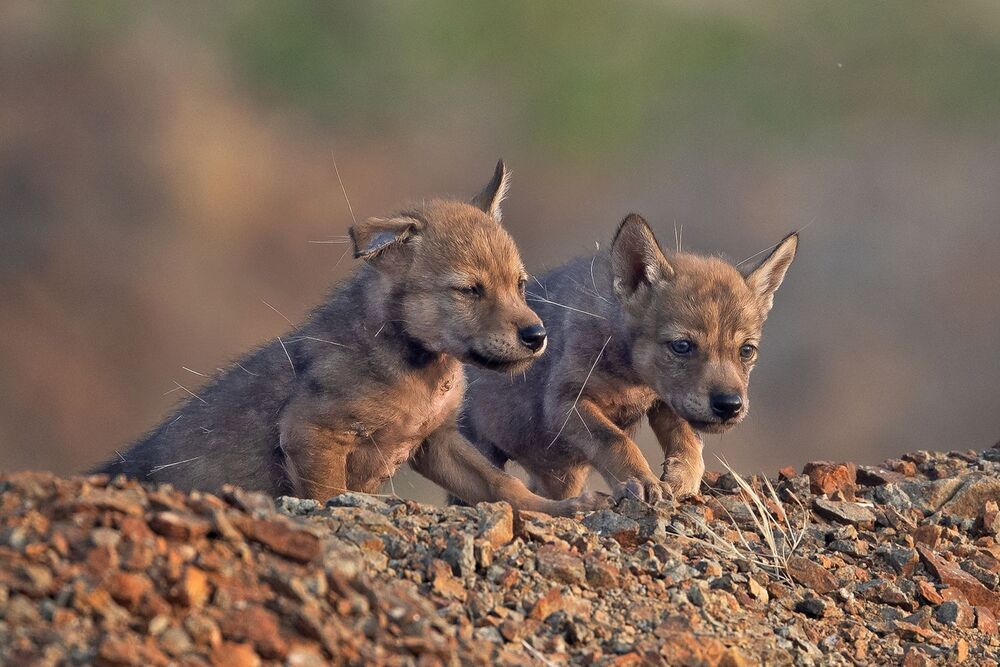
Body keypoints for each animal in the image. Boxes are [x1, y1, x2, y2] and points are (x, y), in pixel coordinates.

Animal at [95, 161, 609, 516]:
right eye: (469, 290)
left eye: (519, 285)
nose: (537, 335)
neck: (420, 371)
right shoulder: (311, 433)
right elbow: (329, 497)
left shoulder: (437, 440)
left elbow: (503, 486)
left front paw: (561, 509)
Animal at [461, 213, 798, 503]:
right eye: (682, 346)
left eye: (746, 351)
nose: (729, 405)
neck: (630, 380)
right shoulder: (565, 403)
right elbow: (616, 441)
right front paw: (643, 480)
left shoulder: (663, 399)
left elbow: (689, 439)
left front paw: (683, 477)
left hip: (562, 475)